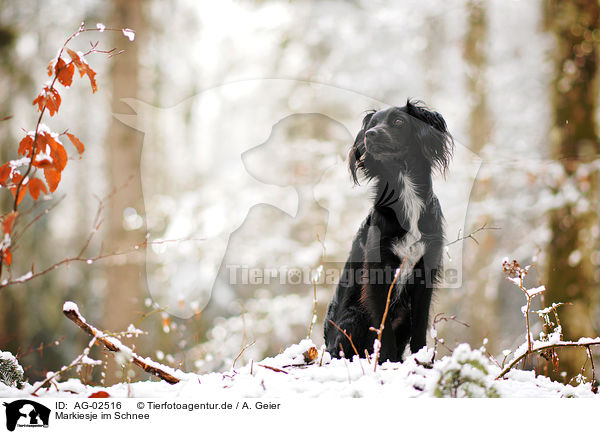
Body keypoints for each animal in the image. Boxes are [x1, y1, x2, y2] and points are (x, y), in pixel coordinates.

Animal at [326, 99, 452, 362]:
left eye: (398, 122)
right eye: (371, 124)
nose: (370, 135)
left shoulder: (425, 272)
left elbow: (420, 326)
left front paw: (422, 360)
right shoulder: (377, 274)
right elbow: (383, 331)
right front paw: (388, 362)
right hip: (354, 315)